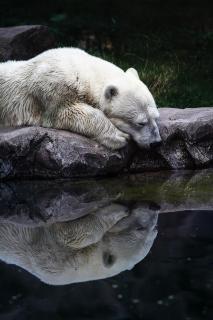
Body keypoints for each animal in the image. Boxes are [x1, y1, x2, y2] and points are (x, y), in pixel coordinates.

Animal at [0, 47, 161, 150]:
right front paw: (119, 137)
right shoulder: (52, 89)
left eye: (156, 117)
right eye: (141, 123)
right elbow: (68, 112)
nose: (156, 143)